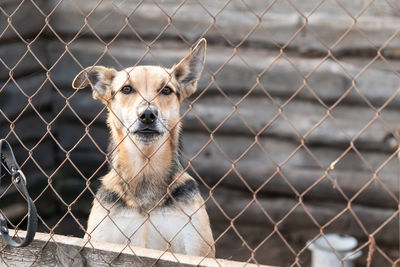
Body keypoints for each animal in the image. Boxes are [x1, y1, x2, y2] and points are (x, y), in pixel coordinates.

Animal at [72, 38, 216, 258]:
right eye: (126, 89)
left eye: (166, 90)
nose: (148, 115)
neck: (144, 169)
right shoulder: (100, 242)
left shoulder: (196, 249)